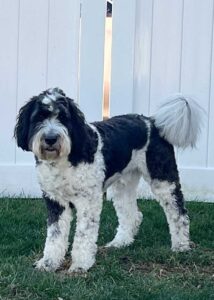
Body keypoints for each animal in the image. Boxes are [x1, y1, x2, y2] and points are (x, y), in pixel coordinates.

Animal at [14, 88, 202, 274]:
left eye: (63, 117)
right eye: (38, 117)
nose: (51, 138)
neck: (66, 159)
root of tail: (153, 122)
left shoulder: (88, 201)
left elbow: (83, 234)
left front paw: (80, 264)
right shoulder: (55, 201)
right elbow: (55, 235)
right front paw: (48, 263)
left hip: (163, 178)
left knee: (178, 212)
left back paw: (181, 245)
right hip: (123, 184)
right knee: (132, 215)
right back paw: (121, 242)